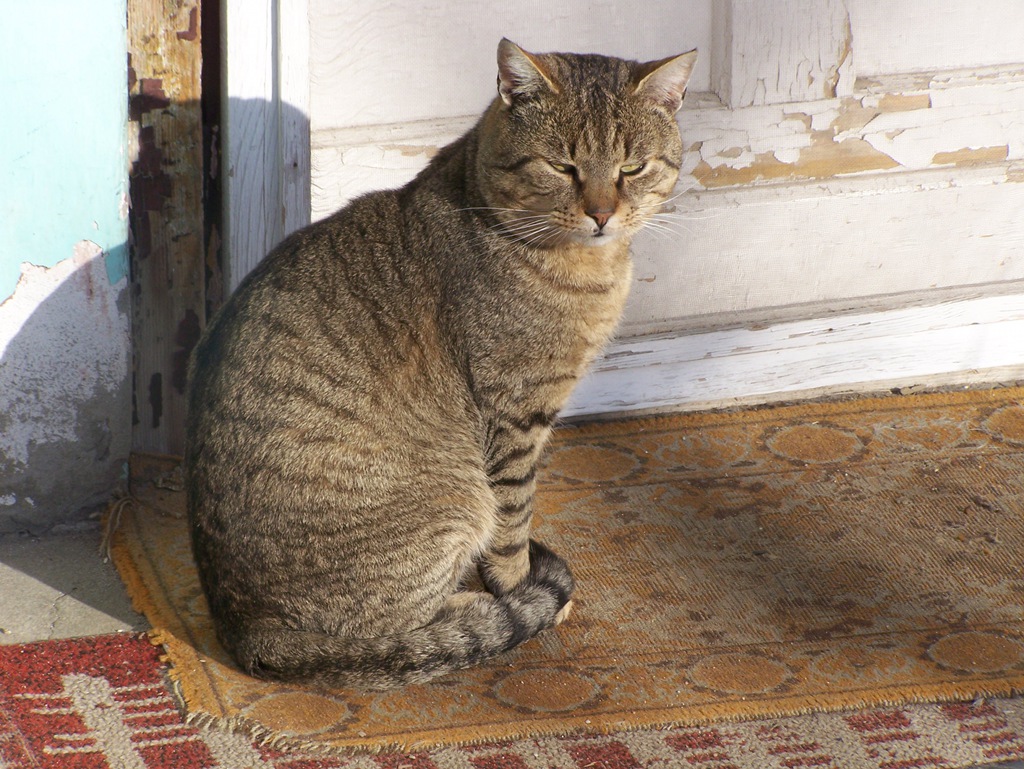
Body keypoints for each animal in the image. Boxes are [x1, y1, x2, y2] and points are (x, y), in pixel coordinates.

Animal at [186, 37, 696, 692]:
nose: (602, 214)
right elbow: (513, 523)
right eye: (563, 167)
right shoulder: (515, 415)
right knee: (397, 631)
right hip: (454, 496)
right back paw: (480, 607)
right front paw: (518, 586)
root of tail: (243, 629)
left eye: (632, 168)